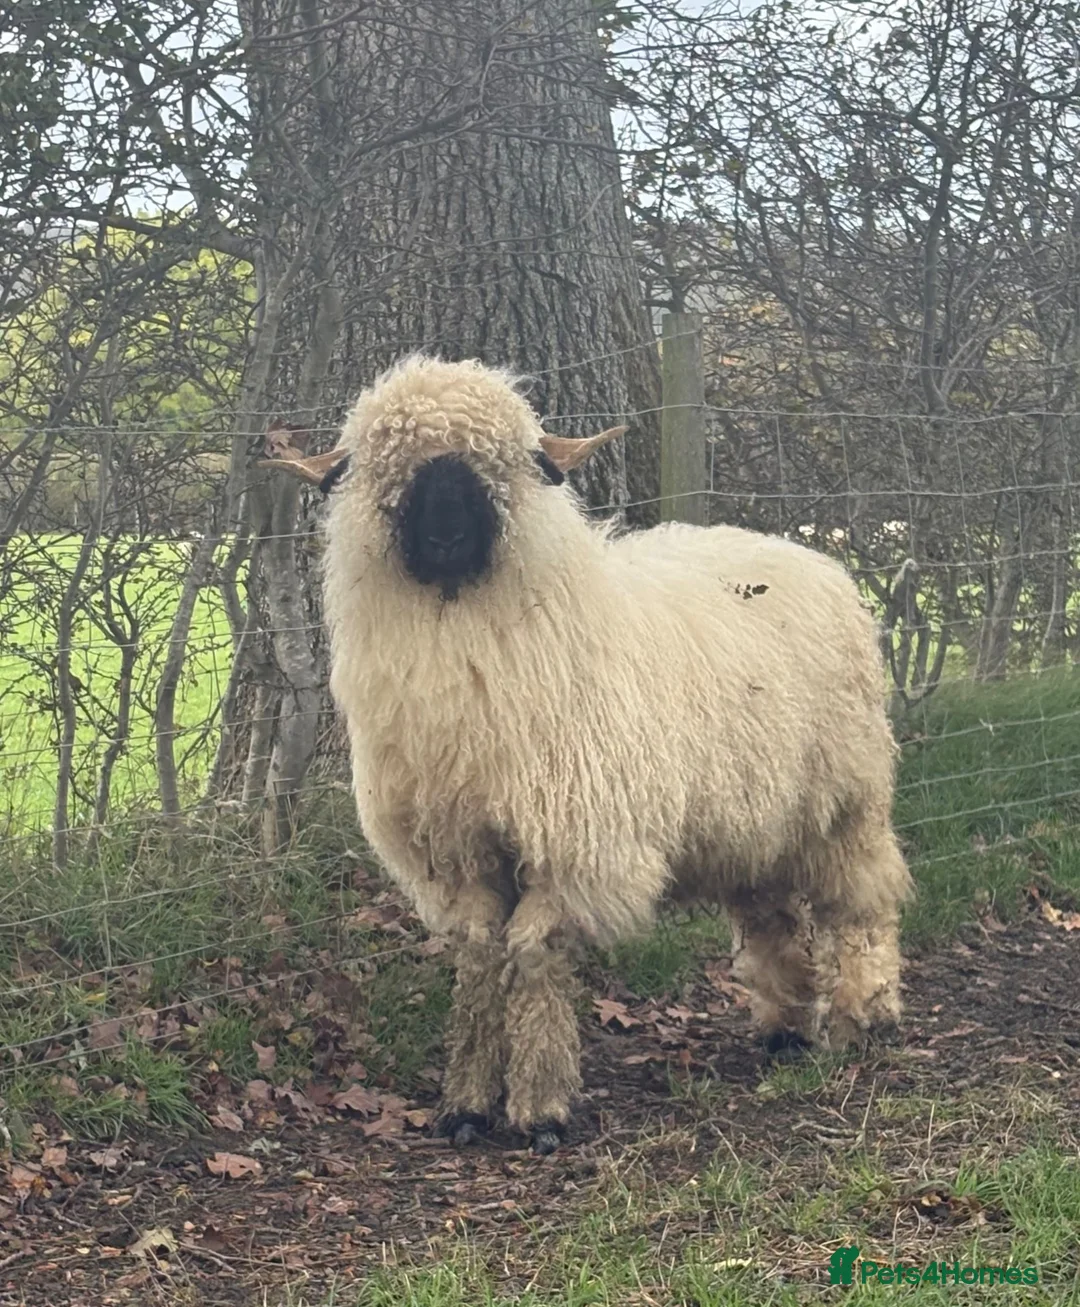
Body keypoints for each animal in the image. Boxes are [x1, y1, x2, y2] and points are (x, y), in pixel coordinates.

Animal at [269, 354, 913, 1154]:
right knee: (770, 915)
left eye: (501, 462)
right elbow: (480, 954)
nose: (446, 535)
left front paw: (541, 1108)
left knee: (859, 902)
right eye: (392, 467)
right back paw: (785, 1030)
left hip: (846, 800)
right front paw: (467, 1104)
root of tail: (804, 554)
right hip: (752, 815)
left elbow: (533, 951)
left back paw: (863, 1015)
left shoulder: (577, 843)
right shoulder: (459, 847)